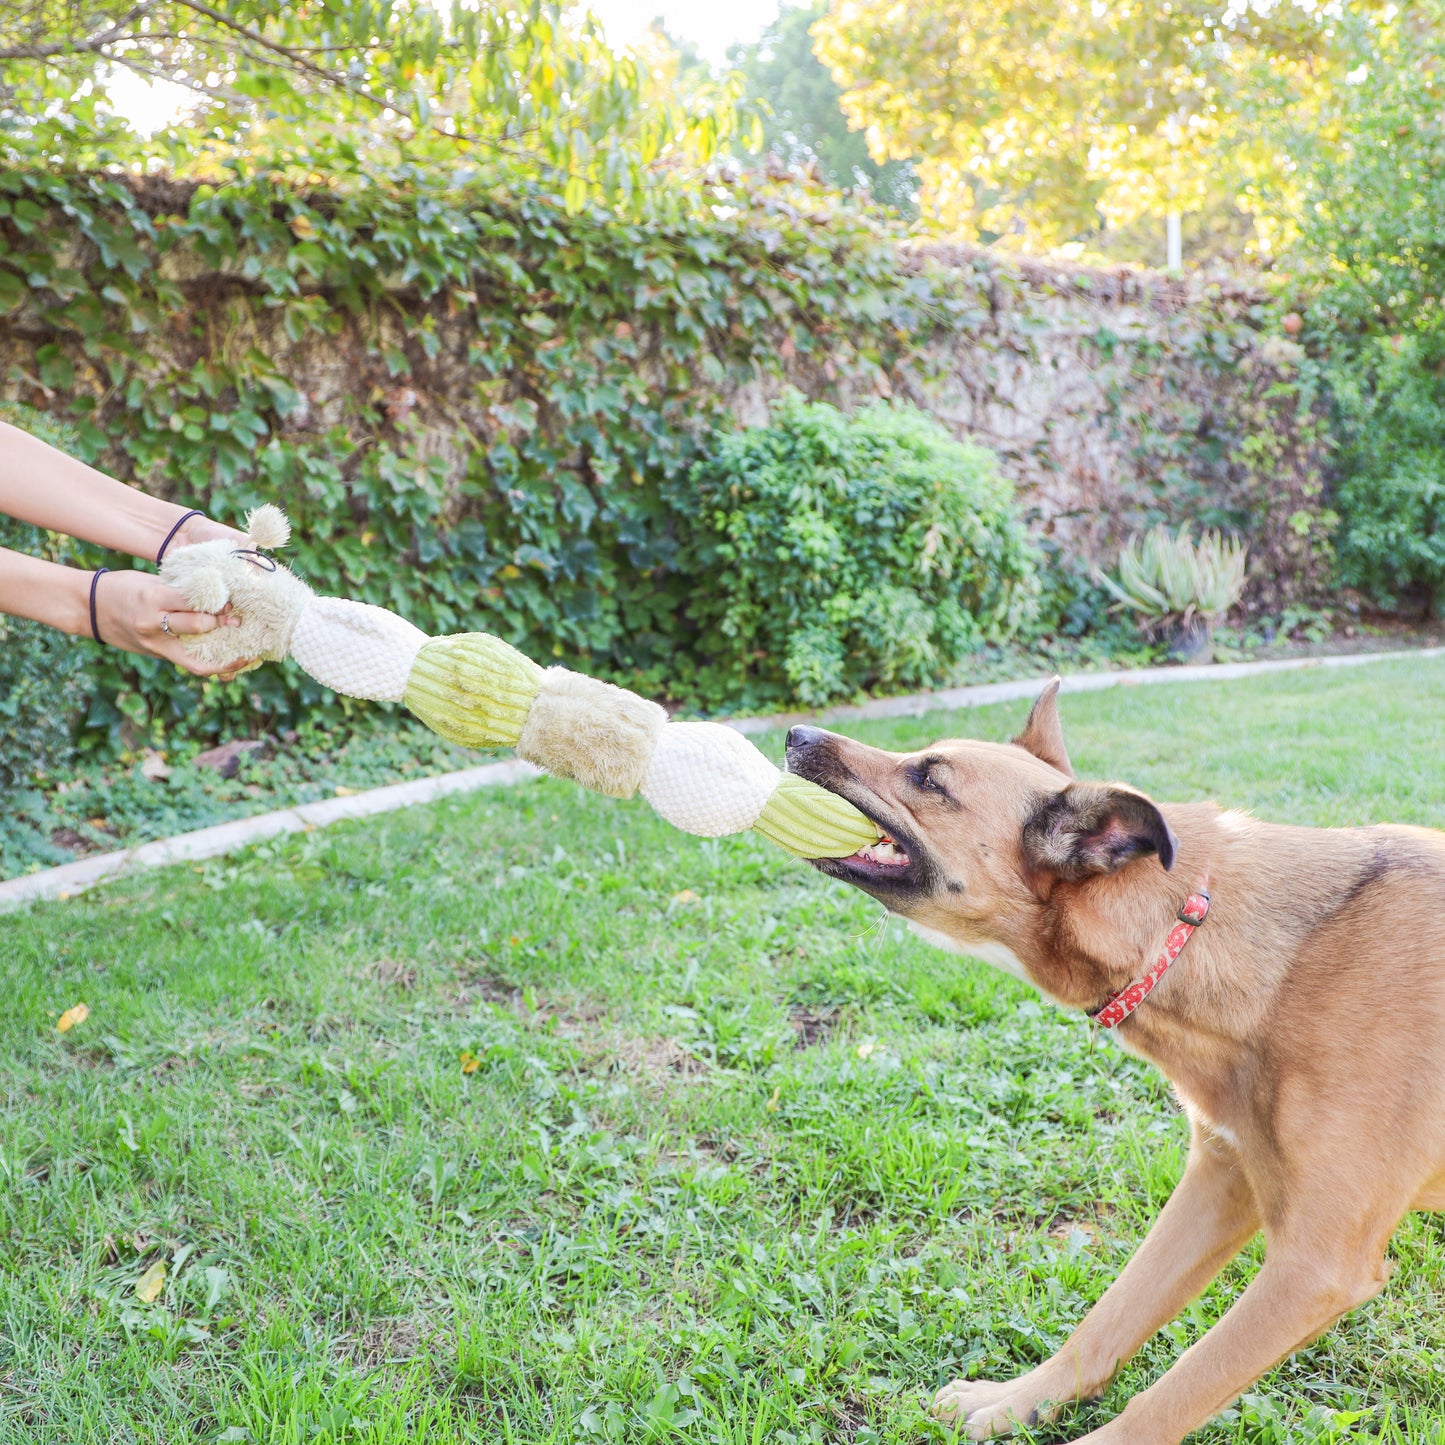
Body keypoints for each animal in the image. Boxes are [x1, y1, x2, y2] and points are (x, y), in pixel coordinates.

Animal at [791, 684, 1445, 1445]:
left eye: (929, 777)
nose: (796, 734)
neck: (1193, 933)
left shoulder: (1316, 1266)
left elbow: (1174, 1392)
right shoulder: (1221, 1179)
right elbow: (1110, 1318)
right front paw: (1017, 1399)